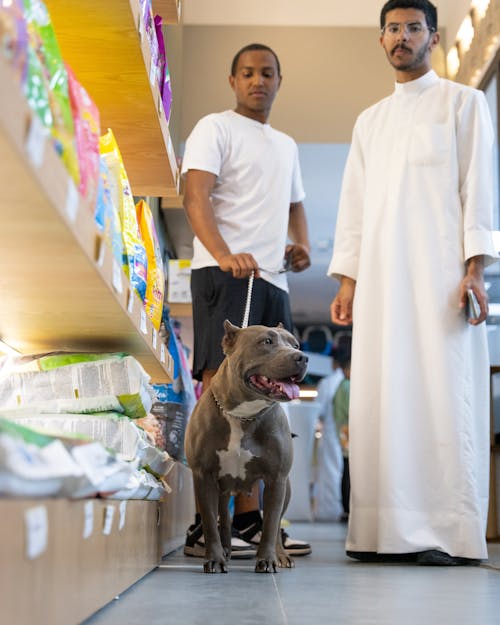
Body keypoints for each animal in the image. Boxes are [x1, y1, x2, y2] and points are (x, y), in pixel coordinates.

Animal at [185, 320, 306, 572]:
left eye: (296, 345)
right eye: (266, 341)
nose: (302, 357)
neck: (243, 415)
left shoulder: (276, 480)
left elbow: (270, 524)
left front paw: (267, 559)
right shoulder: (203, 476)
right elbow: (210, 522)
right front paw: (214, 558)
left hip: (285, 490)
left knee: (276, 525)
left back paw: (281, 556)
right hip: (221, 488)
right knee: (222, 517)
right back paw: (226, 550)